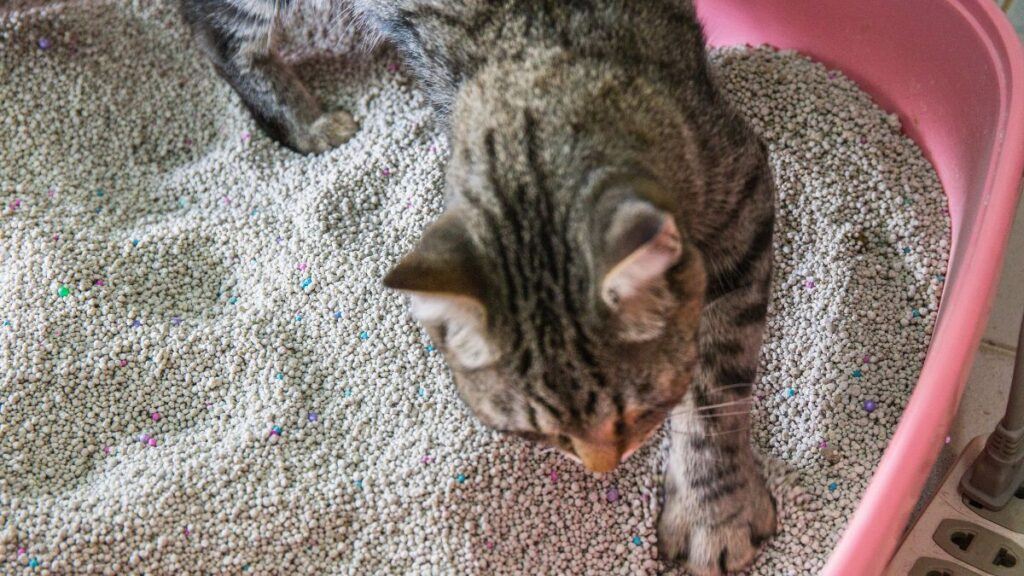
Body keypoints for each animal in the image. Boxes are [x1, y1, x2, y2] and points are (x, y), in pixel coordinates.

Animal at [182, 2, 774, 569]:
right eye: (539, 433)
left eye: (642, 409)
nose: (604, 467)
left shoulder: (742, 200)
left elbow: (716, 397)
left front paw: (713, 515)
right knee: (217, 33)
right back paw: (308, 121)